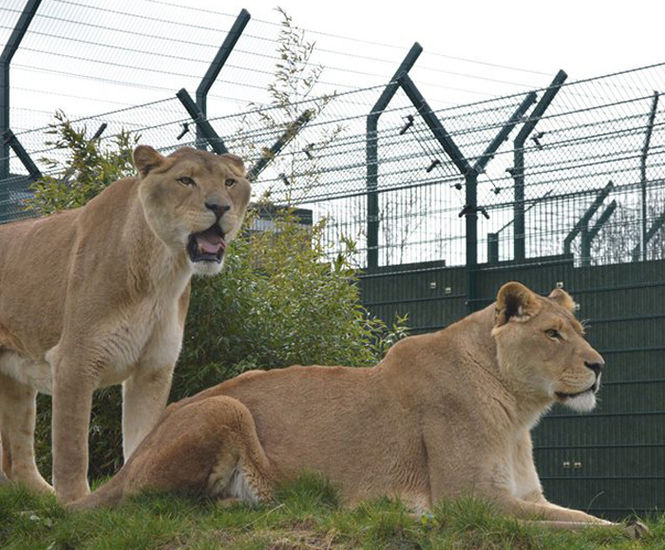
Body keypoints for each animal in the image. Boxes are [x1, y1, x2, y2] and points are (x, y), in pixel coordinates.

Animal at [0, 145, 250, 503]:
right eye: (185, 180)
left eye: (229, 182)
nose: (220, 207)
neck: (162, 274)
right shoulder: (73, 362)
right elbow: (72, 448)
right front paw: (74, 504)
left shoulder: (153, 369)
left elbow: (143, 438)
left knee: (16, 459)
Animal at [73, 282, 644, 535]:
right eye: (553, 334)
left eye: (580, 331)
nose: (599, 365)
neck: (518, 413)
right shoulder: (471, 501)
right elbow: (568, 526)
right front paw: (627, 531)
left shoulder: (522, 494)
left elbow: (572, 514)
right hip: (226, 408)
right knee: (153, 505)